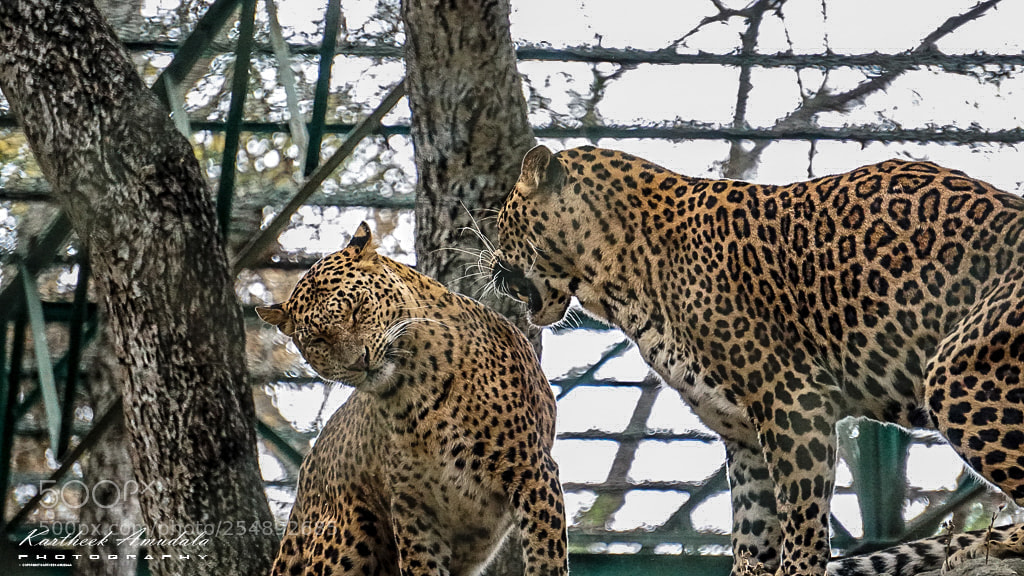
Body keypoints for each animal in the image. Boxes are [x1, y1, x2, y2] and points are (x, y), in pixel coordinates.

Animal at [256, 222, 568, 576]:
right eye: (319, 340)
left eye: (357, 310)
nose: (358, 361)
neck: (414, 392)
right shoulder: (413, 508)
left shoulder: (532, 471)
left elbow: (546, 555)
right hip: (342, 541)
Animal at [487, 144, 1024, 576]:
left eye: (504, 218)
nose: (490, 266)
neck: (618, 277)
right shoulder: (742, 431)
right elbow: (752, 526)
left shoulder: (793, 400)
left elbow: (802, 517)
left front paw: (798, 570)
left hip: (958, 375)